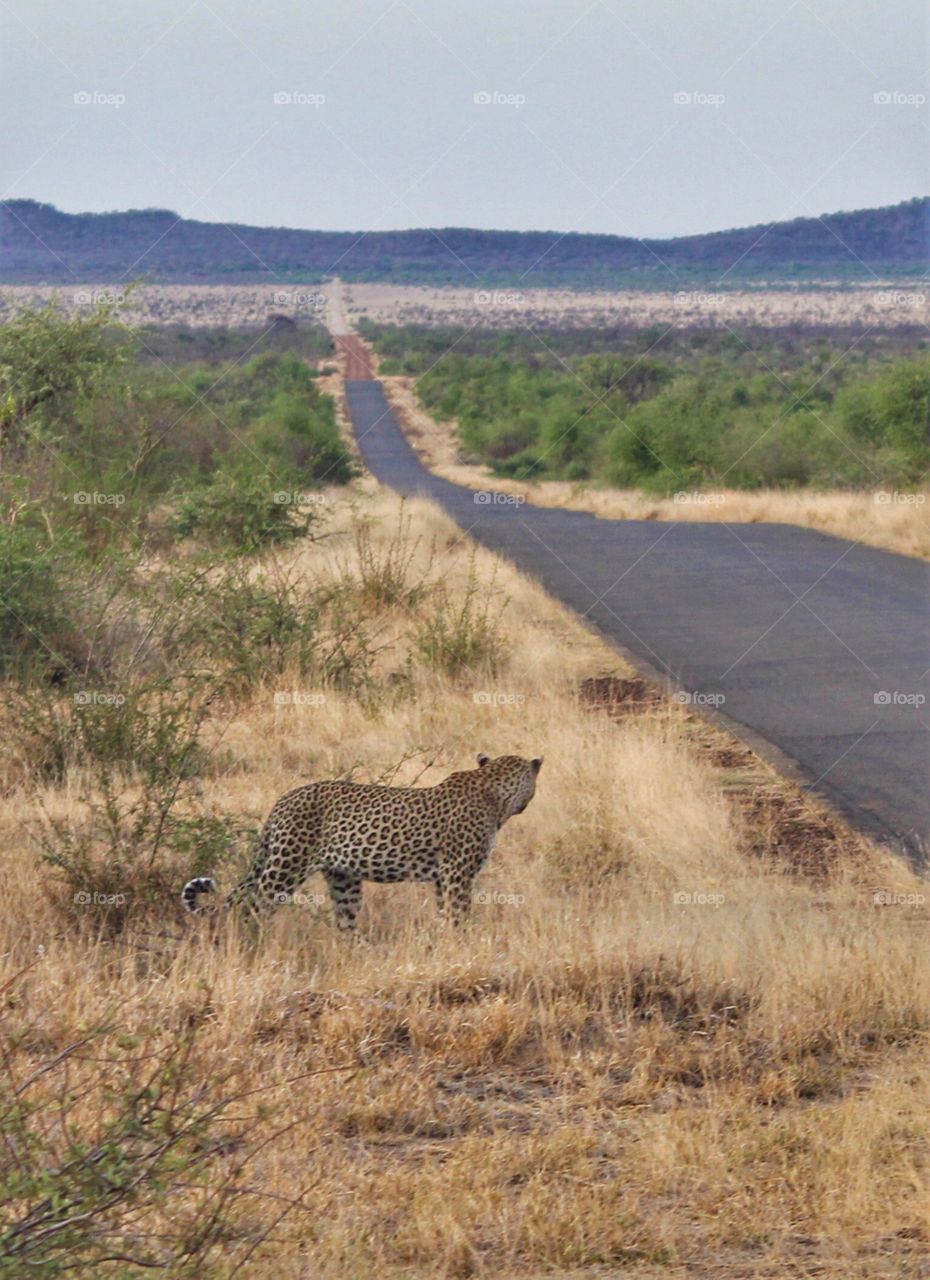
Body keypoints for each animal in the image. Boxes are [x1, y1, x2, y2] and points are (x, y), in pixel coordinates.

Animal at [181, 753, 542, 930]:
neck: (493, 789)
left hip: (343, 878)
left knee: (346, 924)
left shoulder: (443, 877)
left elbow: (444, 914)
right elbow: (458, 913)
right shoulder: (457, 873)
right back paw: (252, 946)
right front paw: (462, 943)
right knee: (254, 906)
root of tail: (282, 800)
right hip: (285, 867)